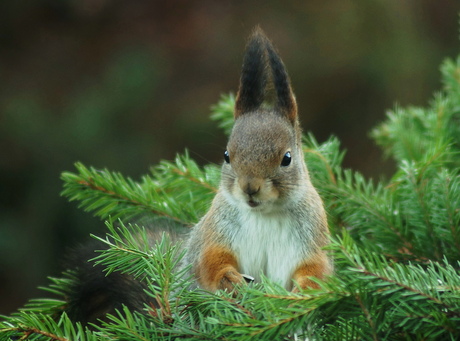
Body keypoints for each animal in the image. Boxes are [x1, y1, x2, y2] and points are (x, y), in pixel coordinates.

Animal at [63, 27, 330, 324]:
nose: (250, 188)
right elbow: (208, 259)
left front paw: (304, 291)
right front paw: (228, 278)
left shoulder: (313, 236)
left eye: (287, 159)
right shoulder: (215, 228)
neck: (264, 214)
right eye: (226, 155)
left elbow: (317, 269)